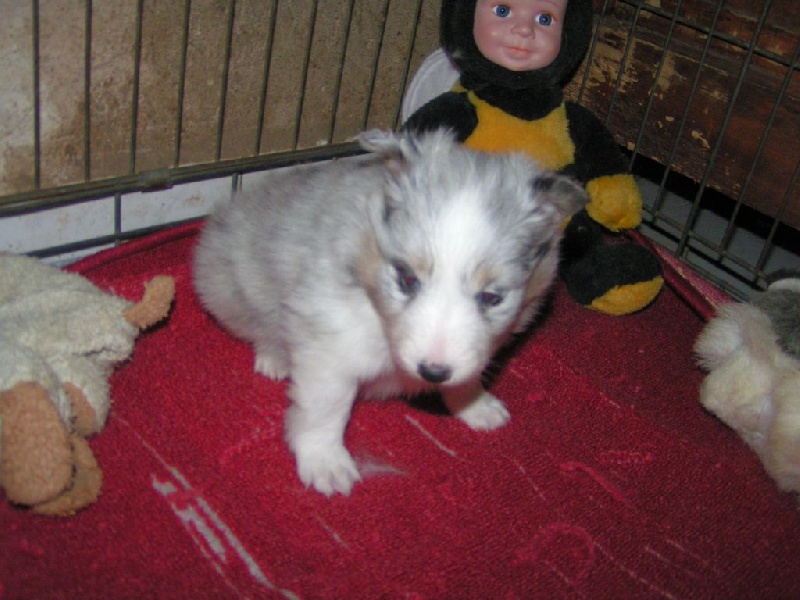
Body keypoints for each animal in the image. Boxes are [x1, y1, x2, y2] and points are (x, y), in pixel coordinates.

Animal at [193, 130, 587, 495]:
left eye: (491, 297)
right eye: (407, 279)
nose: (432, 372)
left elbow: (467, 375)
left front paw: (478, 407)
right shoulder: (329, 345)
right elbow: (327, 407)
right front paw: (327, 466)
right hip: (232, 288)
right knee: (259, 327)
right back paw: (275, 359)